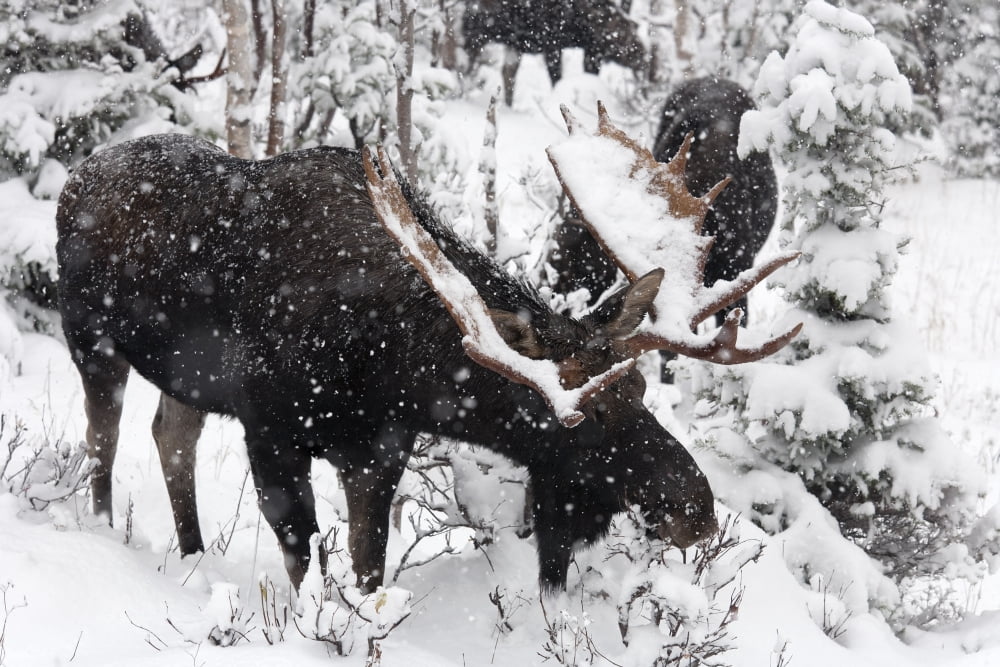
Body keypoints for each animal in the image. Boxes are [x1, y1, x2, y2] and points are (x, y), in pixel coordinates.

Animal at [56, 103, 799, 594]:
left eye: (639, 387)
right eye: (585, 416)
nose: (696, 509)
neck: (389, 363)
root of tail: (77, 174)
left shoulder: (378, 449)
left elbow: (367, 565)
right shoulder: (271, 429)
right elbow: (302, 558)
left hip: (185, 375)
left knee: (170, 433)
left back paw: (192, 555)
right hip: (90, 339)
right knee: (104, 438)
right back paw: (105, 528)